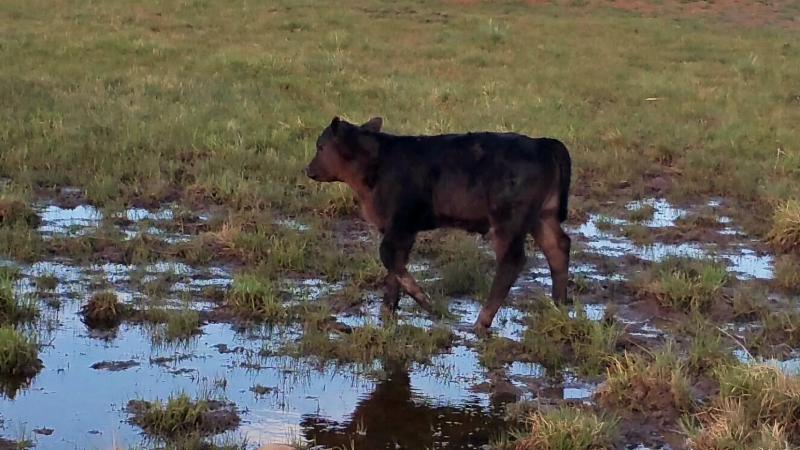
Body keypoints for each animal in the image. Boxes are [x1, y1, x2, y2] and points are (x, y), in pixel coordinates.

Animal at [305, 116, 572, 332]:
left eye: (321, 146)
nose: (308, 169)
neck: (378, 163)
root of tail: (541, 143)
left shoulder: (400, 223)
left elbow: (389, 257)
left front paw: (425, 301)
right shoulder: (403, 230)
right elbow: (395, 264)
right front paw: (388, 310)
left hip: (508, 221)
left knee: (512, 261)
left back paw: (482, 321)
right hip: (541, 216)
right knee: (558, 247)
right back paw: (558, 305)